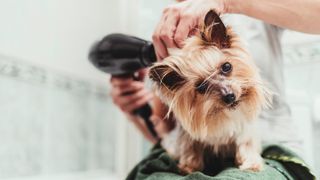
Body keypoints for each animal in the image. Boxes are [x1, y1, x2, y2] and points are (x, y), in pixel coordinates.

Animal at [149, 10, 272, 174]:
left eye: (226, 66)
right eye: (201, 87)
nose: (229, 96)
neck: (224, 114)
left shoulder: (245, 129)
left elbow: (246, 144)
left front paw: (251, 163)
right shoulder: (189, 136)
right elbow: (190, 149)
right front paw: (189, 167)